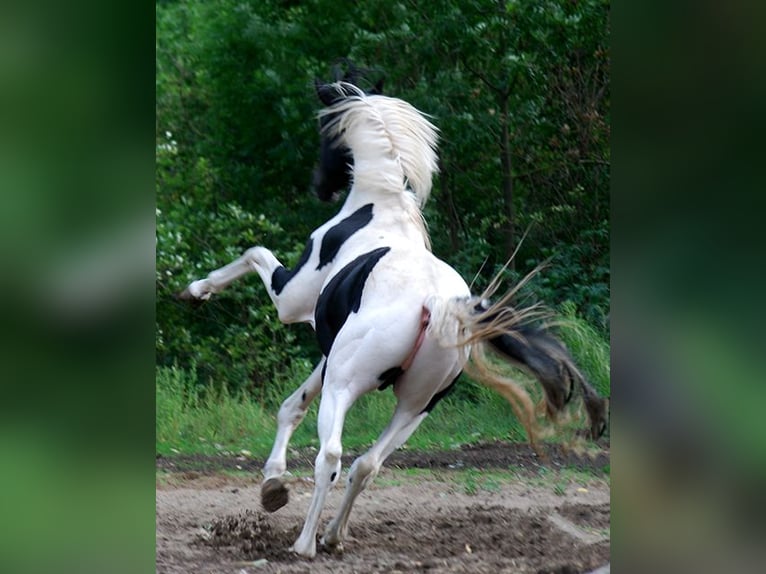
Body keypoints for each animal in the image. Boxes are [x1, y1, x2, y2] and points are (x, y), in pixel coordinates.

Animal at [180, 76, 609, 558]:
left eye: (325, 132)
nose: (319, 187)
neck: (377, 207)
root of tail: (437, 304)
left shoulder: (292, 304)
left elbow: (255, 254)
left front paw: (196, 290)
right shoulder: (329, 356)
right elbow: (293, 405)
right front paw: (273, 481)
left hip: (347, 387)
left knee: (332, 456)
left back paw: (306, 543)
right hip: (414, 406)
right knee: (367, 464)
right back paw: (333, 535)